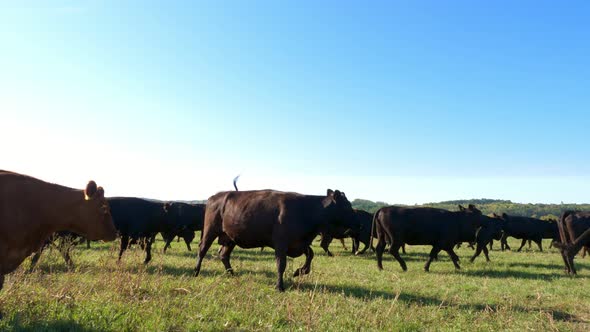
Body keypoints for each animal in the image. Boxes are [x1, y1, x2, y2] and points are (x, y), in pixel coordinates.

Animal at [195, 188, 356, 292]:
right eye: (347, 206)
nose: (357, 222)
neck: (306, 210)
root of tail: (215, 196)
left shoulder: (299, 243)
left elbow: (310, 254)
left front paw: (299, 271)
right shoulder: (281, 243)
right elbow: (281, 264)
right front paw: (280, 286)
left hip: (230, 238)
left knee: (224, 255)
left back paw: (232, 274)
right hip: (210, 230)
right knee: (202, 250)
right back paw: (196, 272)